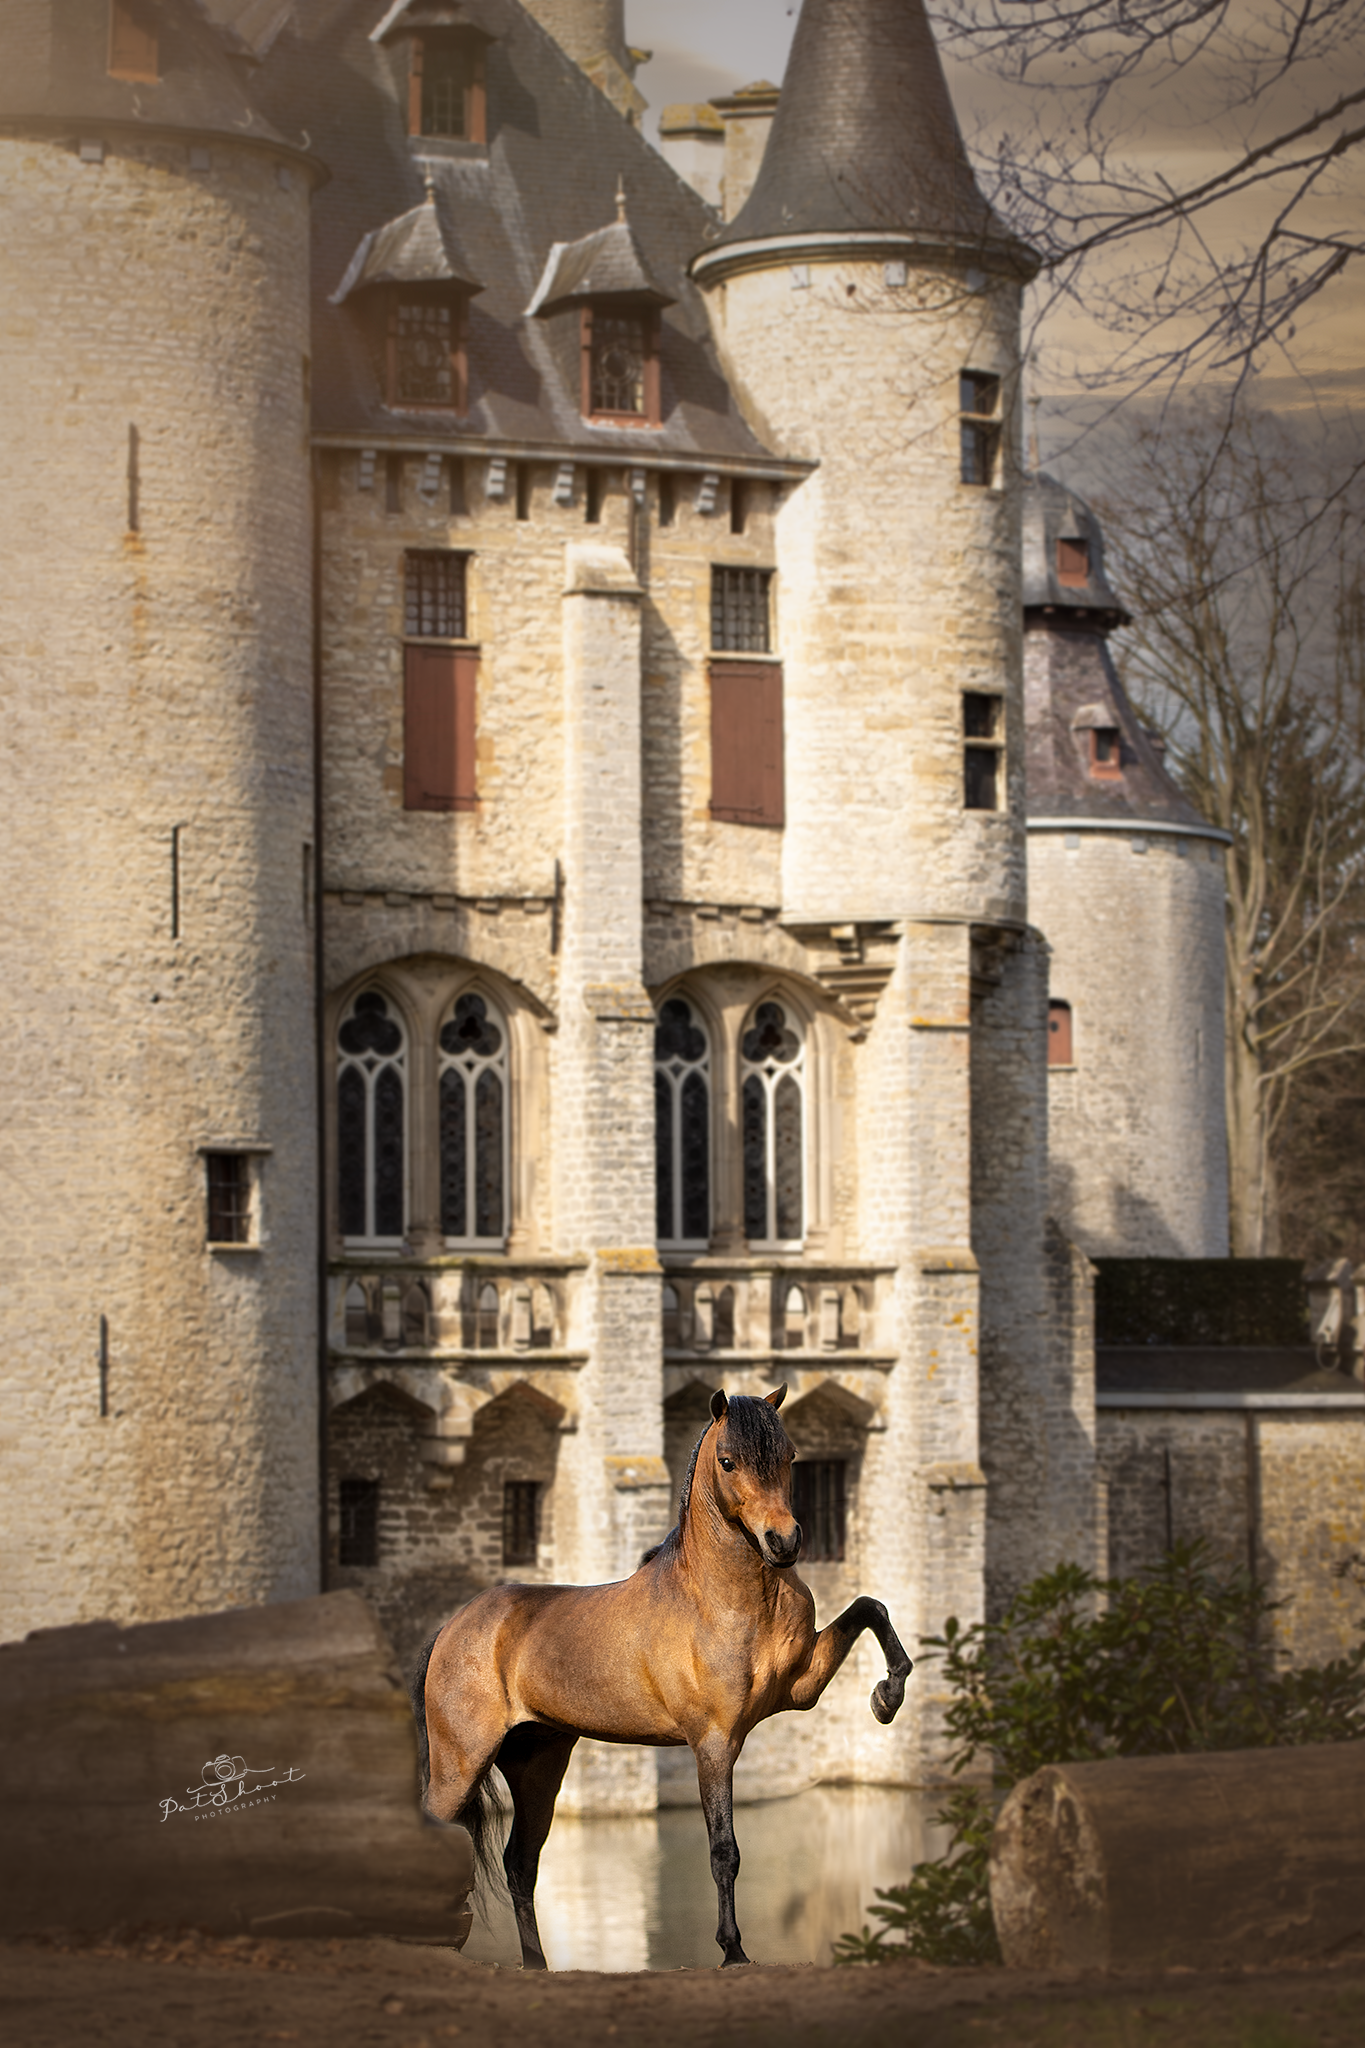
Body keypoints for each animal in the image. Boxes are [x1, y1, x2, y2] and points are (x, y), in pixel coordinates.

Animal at [410, 1384, 913, 1969]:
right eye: (728, 1461)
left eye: (790, 1456)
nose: (783, 1542)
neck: (725, 1599)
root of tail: (452, 1627)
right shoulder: (715, 1743)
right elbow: (724, 1851)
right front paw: (733, 1950)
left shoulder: (802, 1686)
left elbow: (869, 1607)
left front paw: (887, 1696)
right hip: (460, 1765)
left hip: (538, 1764)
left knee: (520, 1863)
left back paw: (535, 1962)